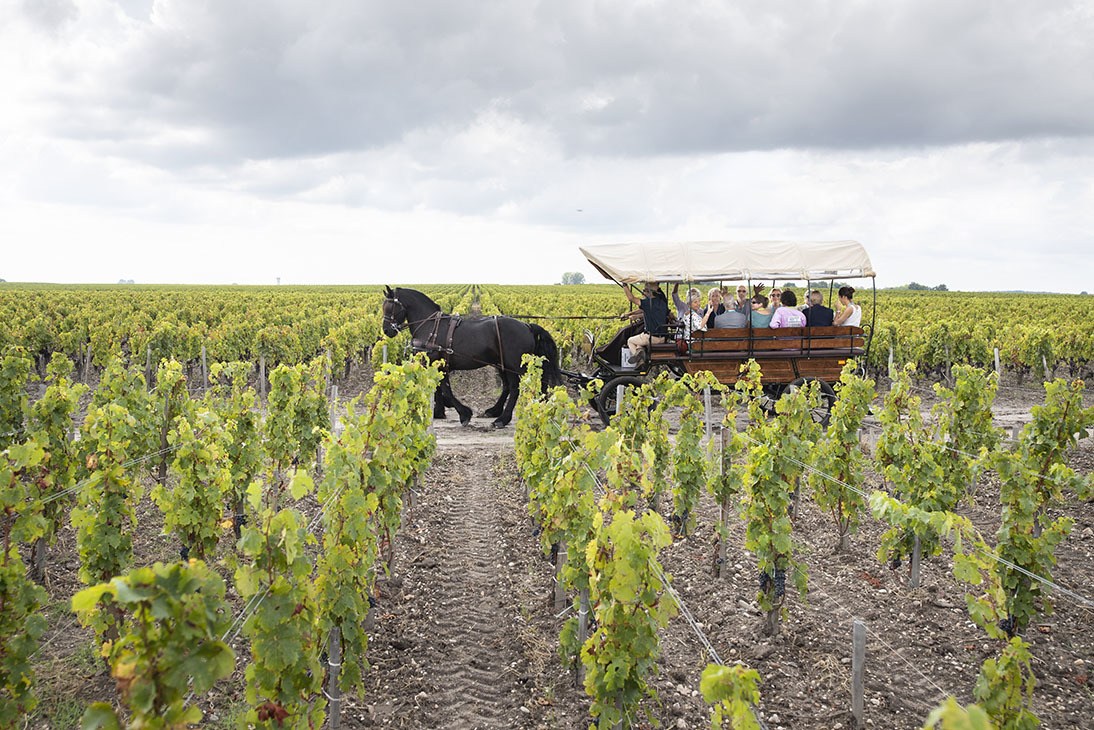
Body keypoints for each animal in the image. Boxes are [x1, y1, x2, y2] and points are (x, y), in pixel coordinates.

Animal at [380, 288, 560, 429]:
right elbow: (439, 388)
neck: (431, 326)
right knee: (508, 387)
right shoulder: (436, 364)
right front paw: (439, 411)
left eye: (390, 307)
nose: (387, 330)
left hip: (514, 365)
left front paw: (464, 414)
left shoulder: (438, 363)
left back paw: (502, 419)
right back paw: (495, 411)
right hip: (500, 364)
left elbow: (446, 389)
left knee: (515, 388)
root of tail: (527, 326)